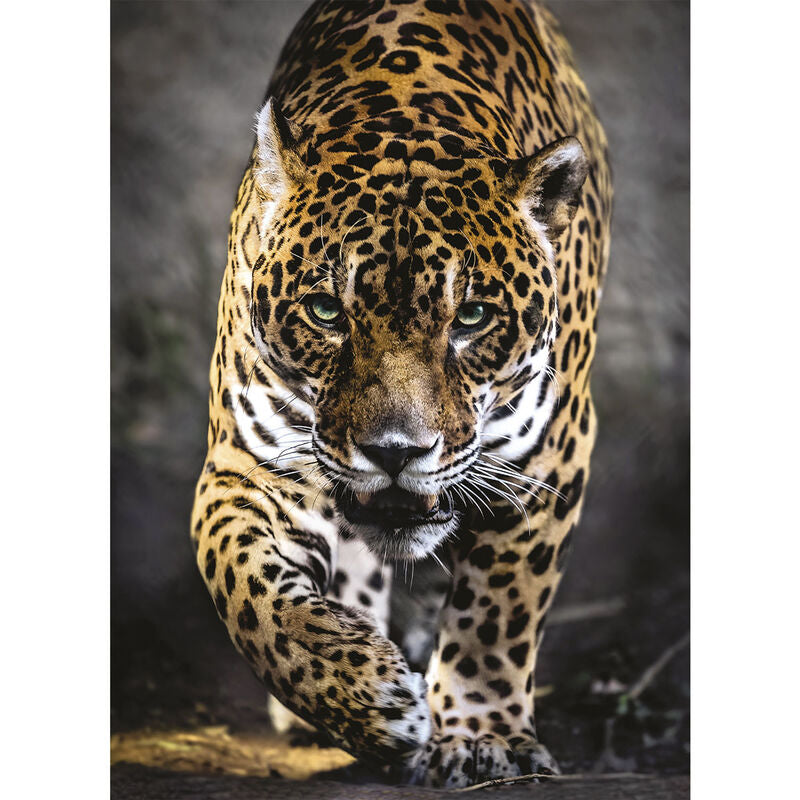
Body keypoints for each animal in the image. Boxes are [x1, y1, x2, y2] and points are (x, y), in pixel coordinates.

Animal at [190, 0, 612, 788]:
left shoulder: (546, 460)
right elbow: (246, 590)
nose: (394, 452)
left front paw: (481, 737)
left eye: (471, 317)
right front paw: (363, 696)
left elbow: (498, 611)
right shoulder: (247, 464)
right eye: (327, 311)